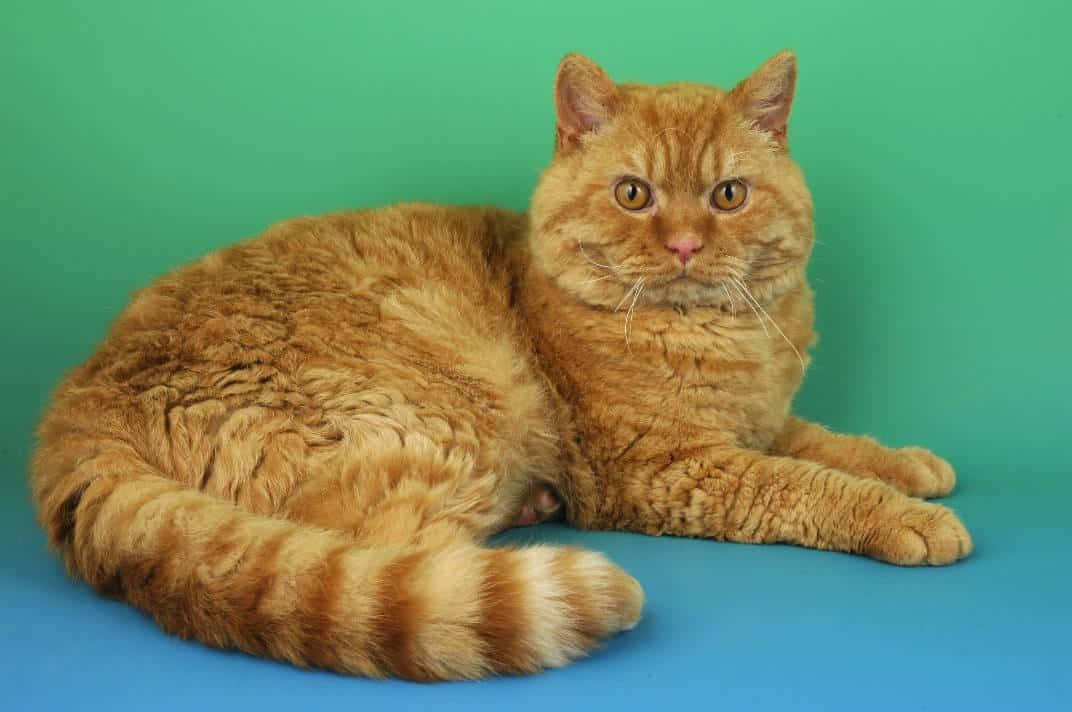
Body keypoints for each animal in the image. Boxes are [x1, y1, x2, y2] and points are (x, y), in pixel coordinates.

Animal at [31, 48, 973, 677]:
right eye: (634, 194)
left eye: (729, 195)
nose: (683, 244)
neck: (722, 339)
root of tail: (81, 400)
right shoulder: (669, 467)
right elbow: (806, 484)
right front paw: (907, 516)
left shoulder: (762, 423)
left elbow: (825, 444)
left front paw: (910, 465)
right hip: (450, 417)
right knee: (384, 564)